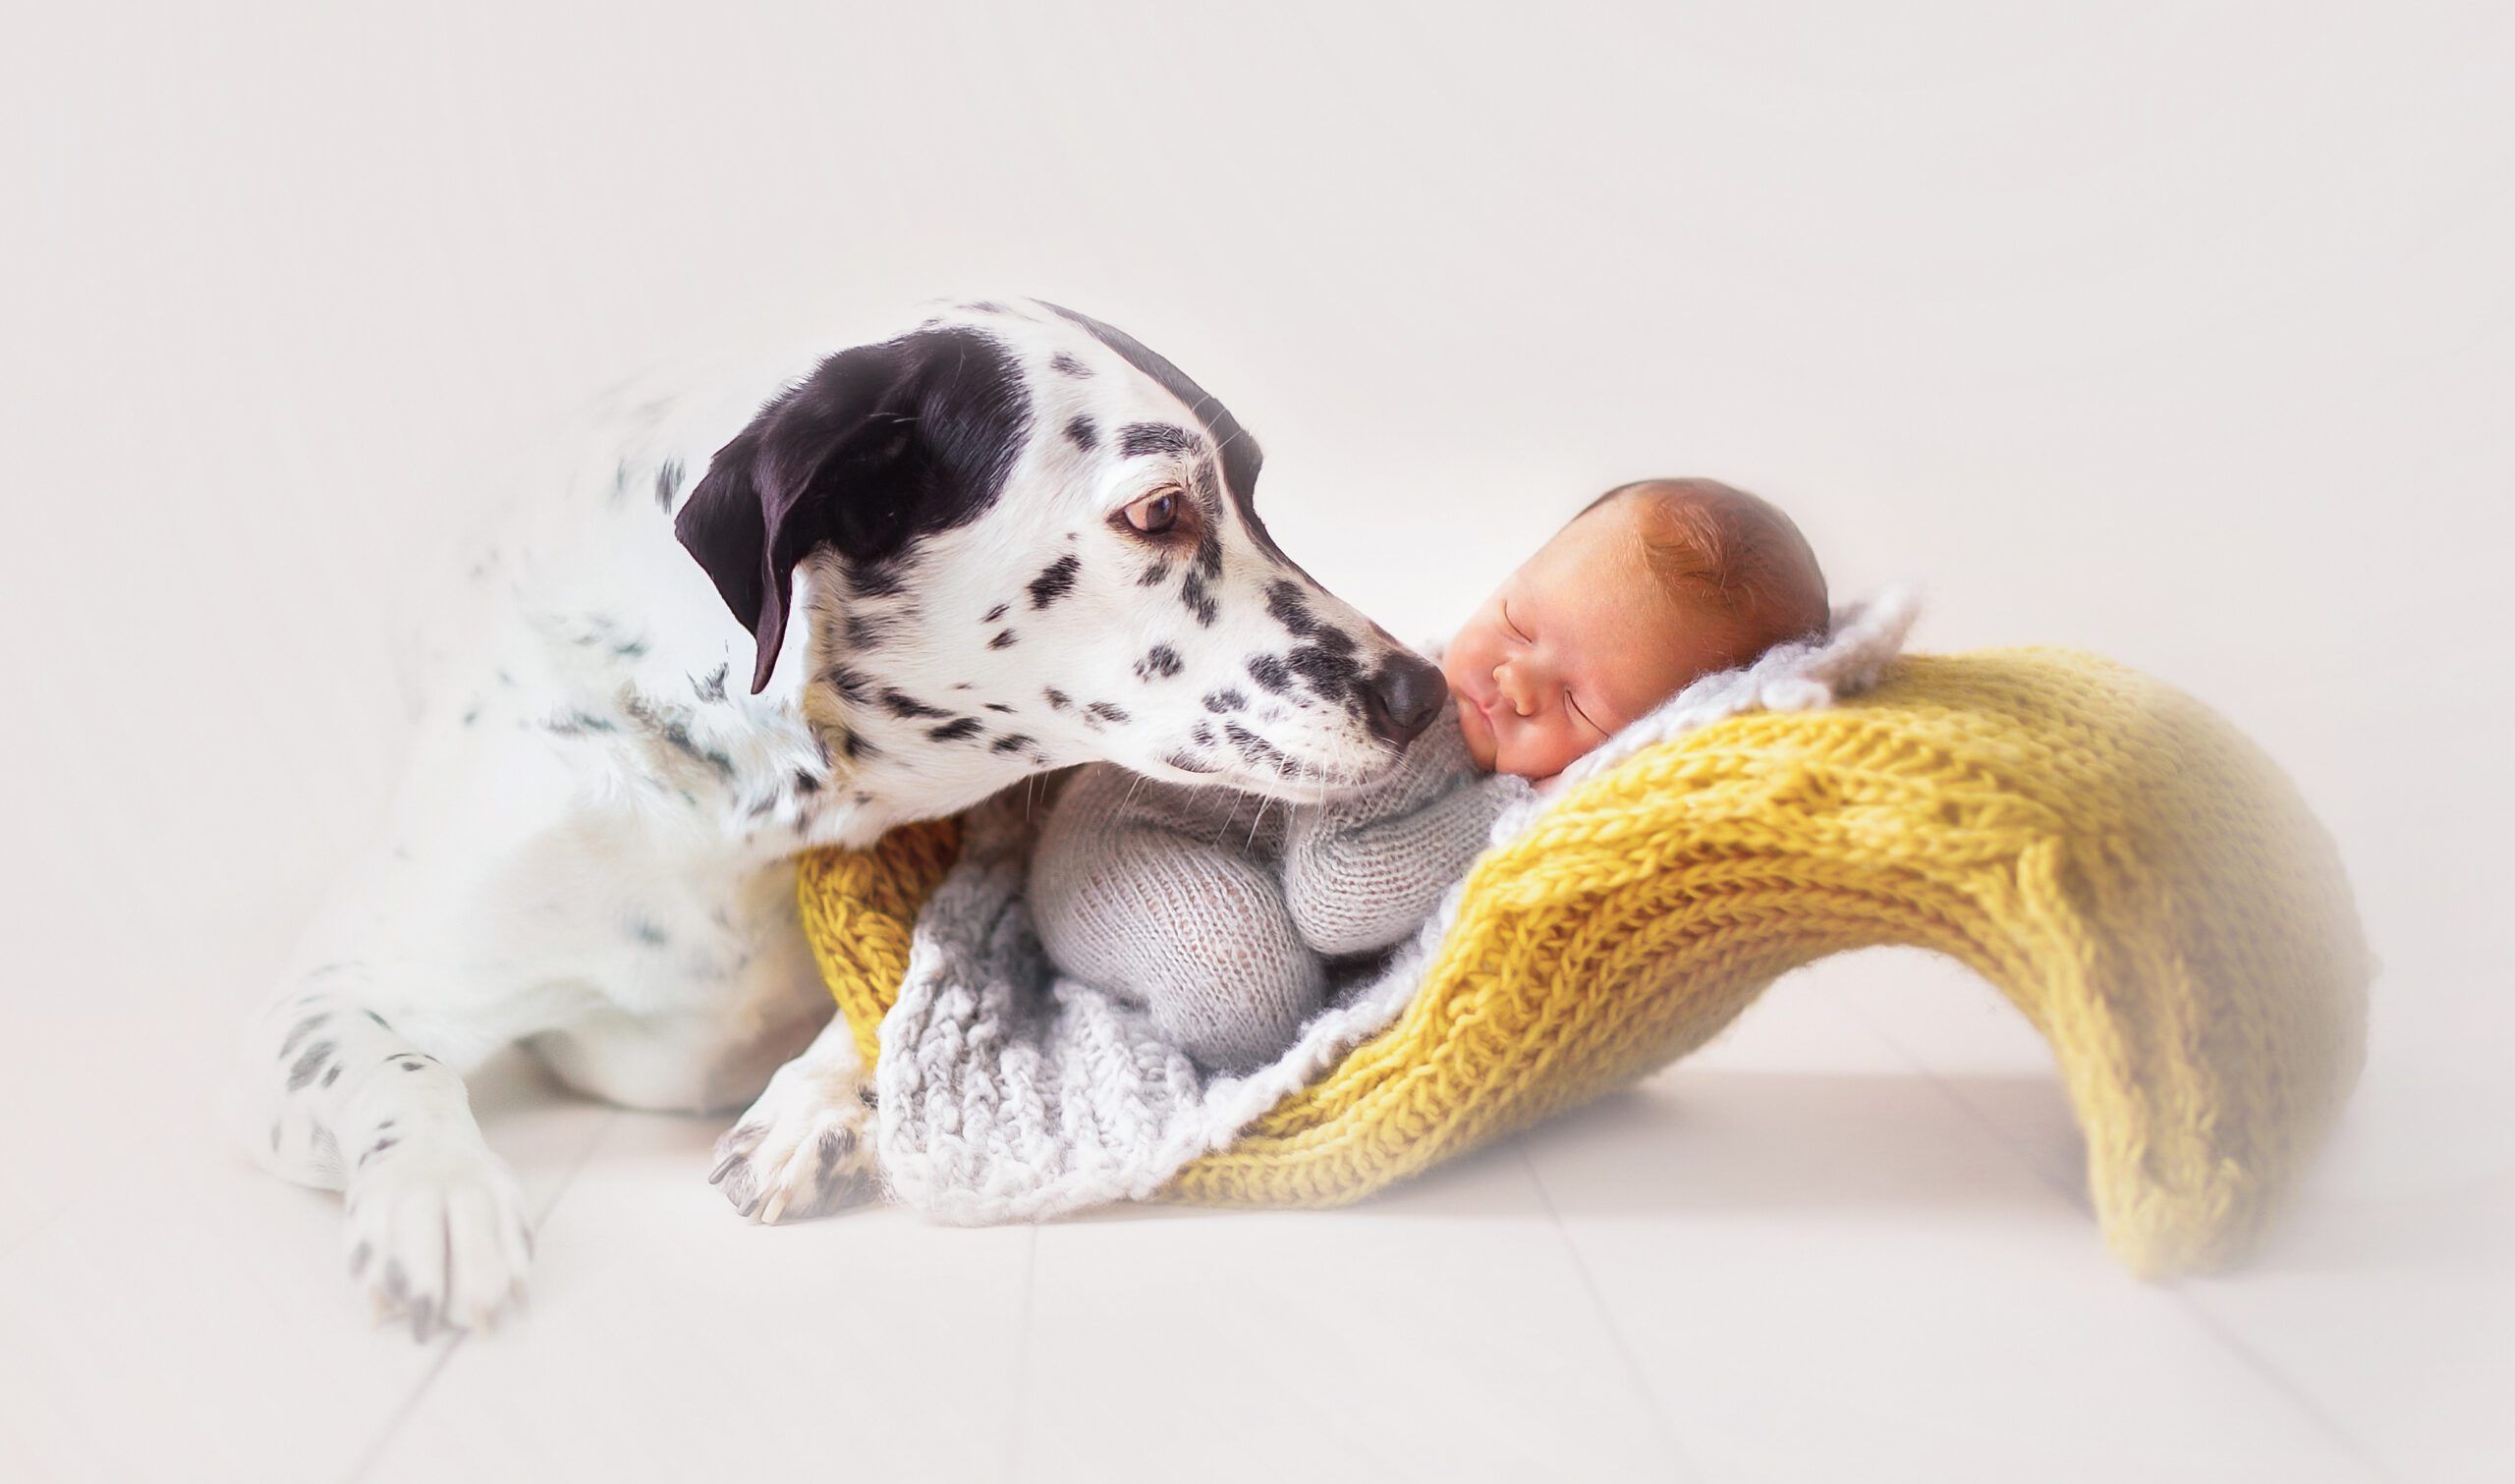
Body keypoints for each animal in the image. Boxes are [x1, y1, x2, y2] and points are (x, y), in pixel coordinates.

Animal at [226, 297, 1448, 1347]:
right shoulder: (332, 994)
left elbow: (902, 991)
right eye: (1158, 509)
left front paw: (813, 1102)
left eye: (1254, 490)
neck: (733, 802)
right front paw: (436, 1197)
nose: (1424, 691)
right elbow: (399, 1069)